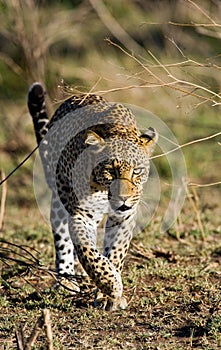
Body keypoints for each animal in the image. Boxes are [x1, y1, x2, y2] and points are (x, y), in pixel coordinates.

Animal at [27, 82, 157, 312]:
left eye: (137, 171)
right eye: (110, 170)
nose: (123, 198)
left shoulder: (124, 217)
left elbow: (115, 252)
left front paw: (108, 295)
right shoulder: (82, 215)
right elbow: (90, 255)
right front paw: (111, 285)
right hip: (59, 200)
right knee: (63, 240)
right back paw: (67, 280)